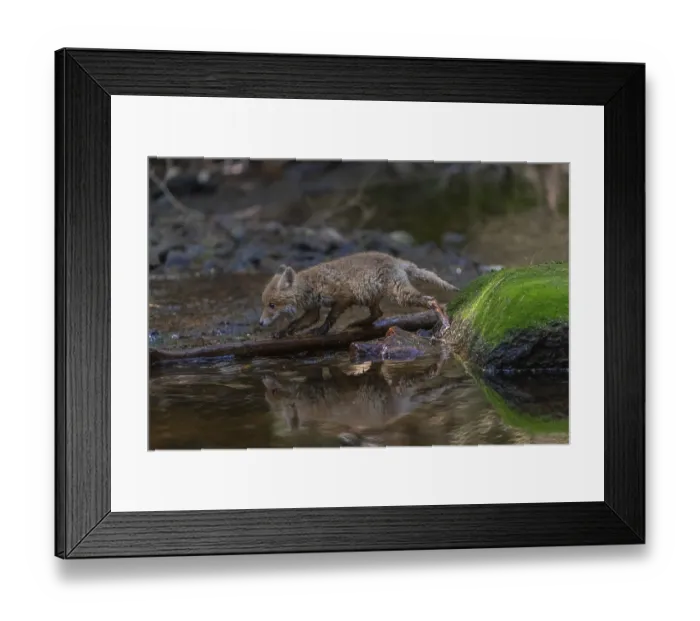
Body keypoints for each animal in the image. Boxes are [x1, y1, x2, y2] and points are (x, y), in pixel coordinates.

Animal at [258, 251, 459, 338]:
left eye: (272, 305)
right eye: (264, 304)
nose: (260, 323)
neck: (311, 286)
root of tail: (396, 260)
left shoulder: (343, 297)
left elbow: (330, 318)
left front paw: (322, 330)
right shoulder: (313, 310)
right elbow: (296, 323)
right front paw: (282, 332)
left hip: (399, 294)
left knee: (431, 300)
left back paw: (443, 320)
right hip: (371, 297)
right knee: (378, 314)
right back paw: (359, 323)